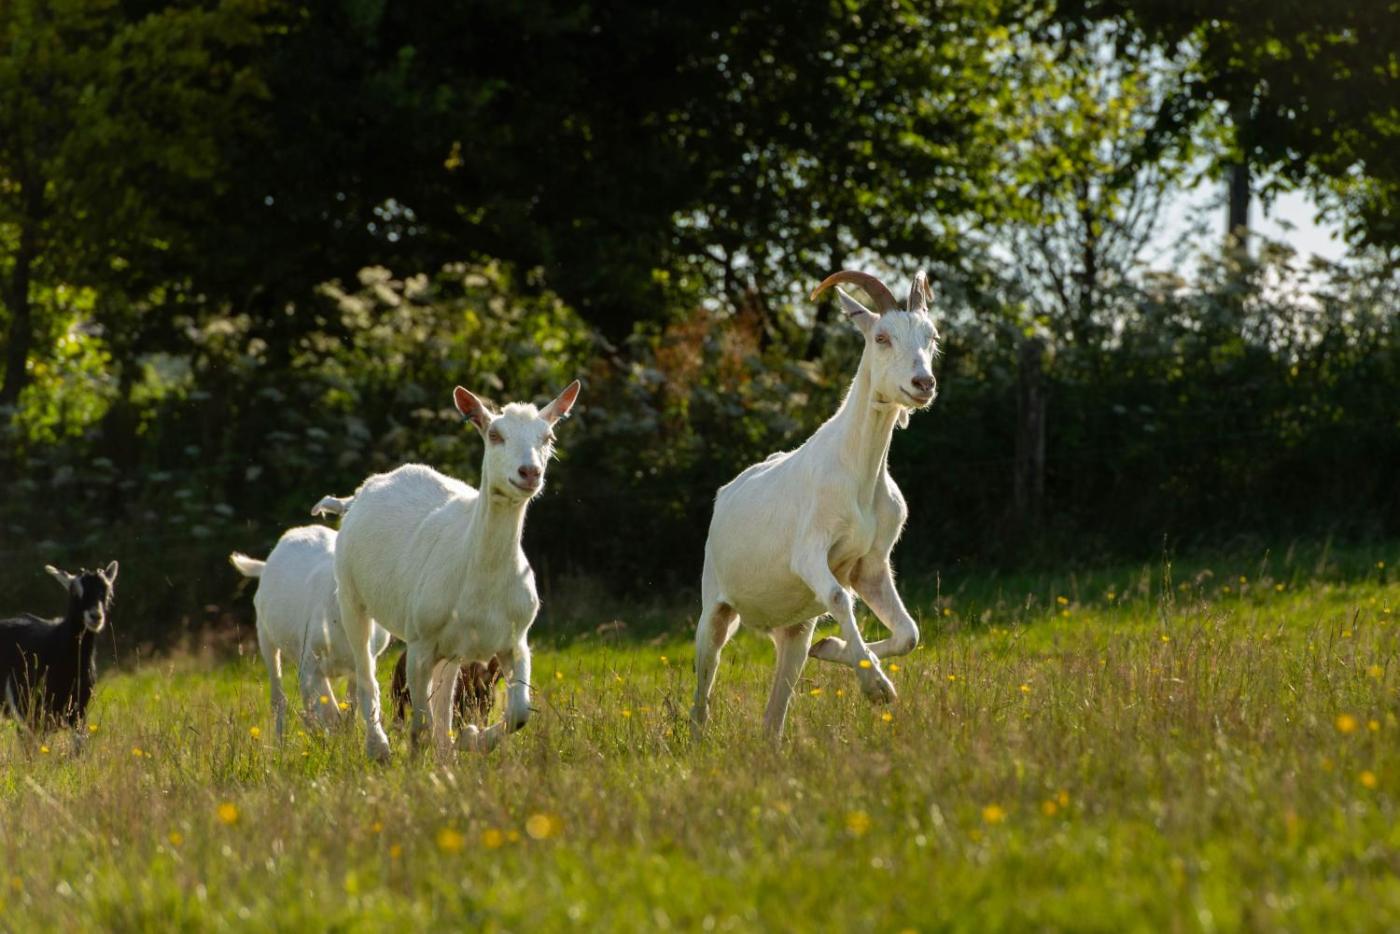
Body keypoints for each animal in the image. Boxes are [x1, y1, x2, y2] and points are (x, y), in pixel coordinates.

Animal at [230, 518, 391, 739]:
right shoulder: (309, 661)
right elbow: (330, 712)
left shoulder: (363, 661)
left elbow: (353, 703)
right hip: (265, 635)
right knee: (278, 697)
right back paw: (281, 741)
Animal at [335, 379, 581, 760]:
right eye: (494, 435)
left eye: (548, 436)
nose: (529, 473)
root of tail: (363, 492)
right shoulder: (420, 640)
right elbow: (419, 723)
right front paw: (418, 765)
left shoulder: (516, 638)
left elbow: (519, 712)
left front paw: (472, 739)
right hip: (350, 594)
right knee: (367, 673)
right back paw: (379, 748)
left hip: (453, 647)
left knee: (444, 695)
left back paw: (447, 750)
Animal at [692, 269, 939, 739]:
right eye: (881, 337)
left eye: (931, 337)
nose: (923, 384)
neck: (857, 473)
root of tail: (724, 495)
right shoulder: (810, 552)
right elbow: (841, 598)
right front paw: (876, 687)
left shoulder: (871, 564)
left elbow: (910, 633)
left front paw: (831, 648)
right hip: (714, 604)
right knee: (705, 676)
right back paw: (696, 735)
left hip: (793, 627)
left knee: (776, 708)